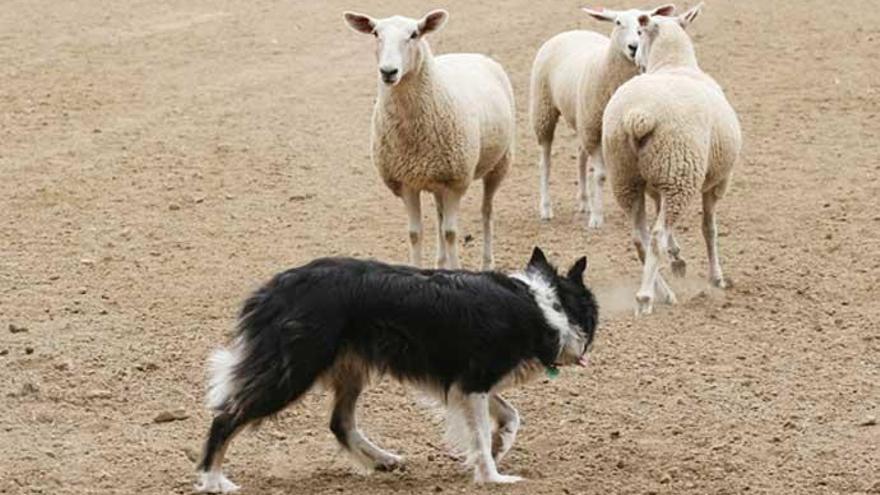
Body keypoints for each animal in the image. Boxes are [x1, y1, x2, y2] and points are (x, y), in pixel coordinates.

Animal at [195, 248, 600, 492]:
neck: (543, 305)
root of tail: (273, 289)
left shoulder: (468, 385)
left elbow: (510, 417)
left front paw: (500, 447)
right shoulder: (474, 381)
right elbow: (482, 436)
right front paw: (494, 477)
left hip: (349, 370)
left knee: (341, 423)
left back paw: (382, 460)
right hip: (294, 370)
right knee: (226, 416)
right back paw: (213, 479)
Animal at [344, 8, 516, 272]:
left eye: (414, 34)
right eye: (375, 34)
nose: (388, 72)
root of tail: (470, 54)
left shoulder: (456, 181)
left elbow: (451, 233)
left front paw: (456, 271)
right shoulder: (406, 182)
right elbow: (415, 233)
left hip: (499, 163)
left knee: (486, 211)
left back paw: (487, 263)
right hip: (437, 178)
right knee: (439, 214)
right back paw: (440, 263)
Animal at [528, 3, 672, 229]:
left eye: (643, 24)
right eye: (618, 22)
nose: (634, 47)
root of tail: (571, 32)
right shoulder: (594, 132)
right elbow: (601, 175)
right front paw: (597, 218)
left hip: (582, 122)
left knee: (580, 155)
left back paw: (584, 202)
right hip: (544, 111)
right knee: (546, 162)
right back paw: (546, 208)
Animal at [600, 1, 740, 316]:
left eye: (640, 32)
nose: (635, 55)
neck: (675, 64)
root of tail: (639, 116)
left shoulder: (656, 185)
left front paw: (678, 258)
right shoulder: (717, 183)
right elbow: (709, 229)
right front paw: (716, 277)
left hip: (629, 176)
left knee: (640, 236)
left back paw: (662, 291)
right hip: (680, 175)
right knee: (656, 235)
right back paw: (645, 297)